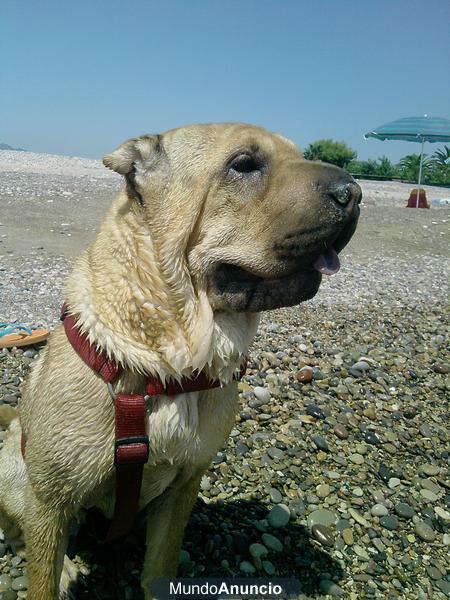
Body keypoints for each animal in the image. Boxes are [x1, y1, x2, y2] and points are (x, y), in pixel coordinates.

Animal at [0, 122, 360, 596]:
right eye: (244, 164)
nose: (355, 193)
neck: (168, 366)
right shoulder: (50, 500)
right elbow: (40, 574)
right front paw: (54, 575)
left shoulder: (183, 488)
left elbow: (161, 565)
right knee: (21, 530)